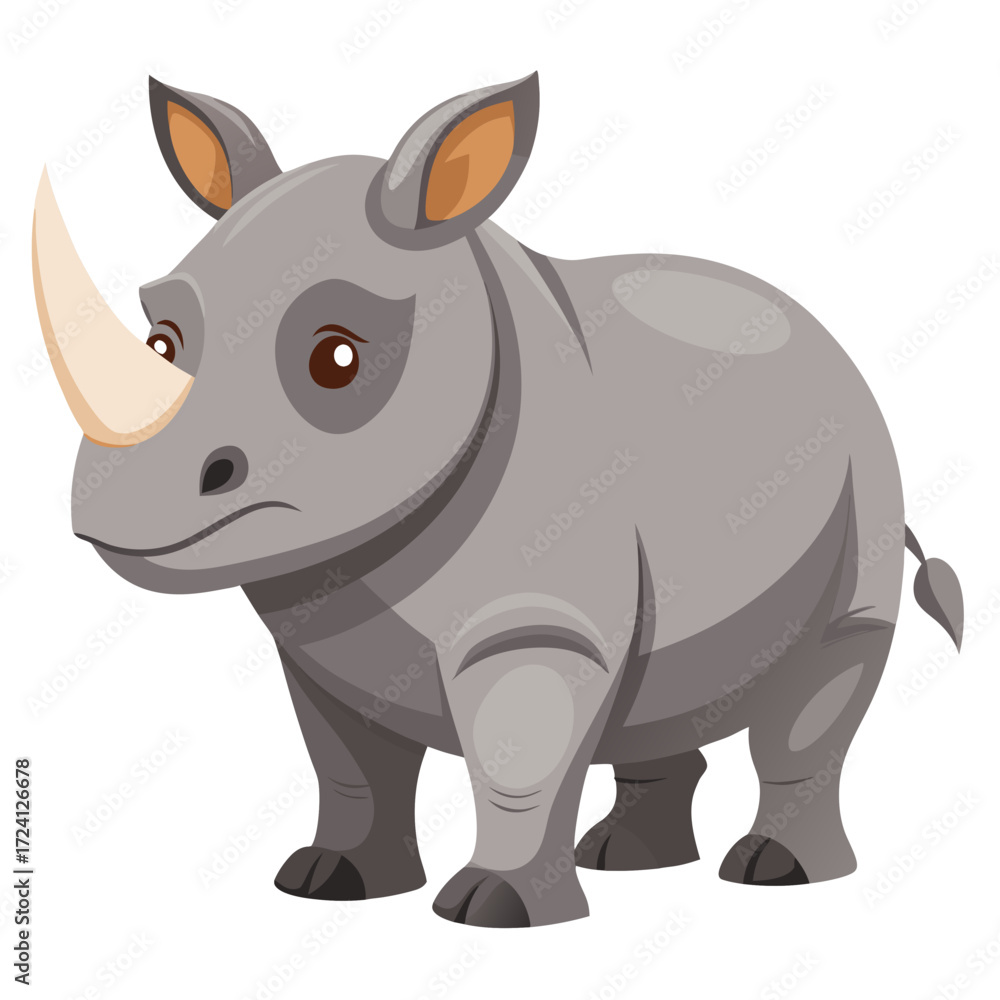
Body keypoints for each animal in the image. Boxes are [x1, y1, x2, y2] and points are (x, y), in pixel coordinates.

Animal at [33, 73, 964, 927]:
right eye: (161, 342)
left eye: (337, 360)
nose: (126, 492)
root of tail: (831, 344)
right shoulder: (318, 643)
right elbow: (349, 767)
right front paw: (331, 881)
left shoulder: (535, 625)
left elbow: (518, 763)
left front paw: (495, 907)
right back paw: (624, 860)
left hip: (867, 469)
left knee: (829, 669)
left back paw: (776, 873)